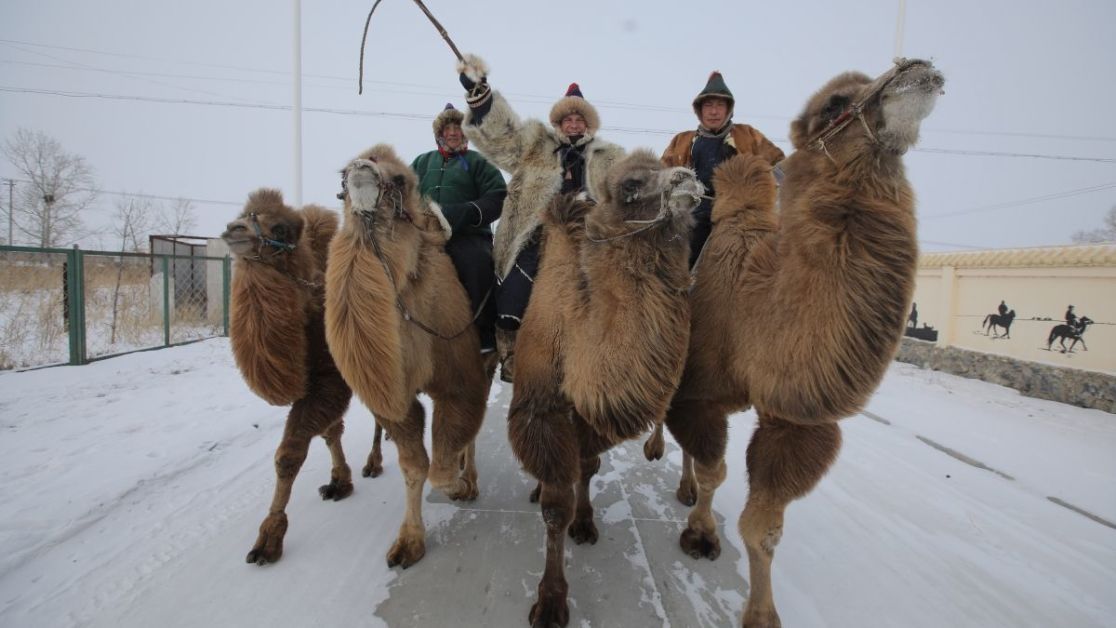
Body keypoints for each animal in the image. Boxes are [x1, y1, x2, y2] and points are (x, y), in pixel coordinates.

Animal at [220, 190, 352, 564]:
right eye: (243, 213)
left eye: (280, 228)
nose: (234, 229)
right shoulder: (316, 385)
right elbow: (330, 432)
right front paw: (340, 482)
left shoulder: (330, 381)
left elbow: (289, 454)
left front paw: (269, 537)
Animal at [325, 143, 495, 571]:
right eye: (342, 174)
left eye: (400, 179)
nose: (361, 169)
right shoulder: (396, 398)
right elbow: (414, 466)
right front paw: (409, 543)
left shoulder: (460, 379)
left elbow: (440, 467)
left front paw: (459, 486)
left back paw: (470, 478)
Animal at [504, 149, 696, 624]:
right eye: (631, 185)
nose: (687, 179)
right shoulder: (544, 411)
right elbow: (556, 508)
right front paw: (551, 602)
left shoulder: (590, 418)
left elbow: (587, 469)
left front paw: (586, 523)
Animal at [656, 60, 946, 628]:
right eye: (833, 105)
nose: (917, 69)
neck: (755, 306)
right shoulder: (701, 393)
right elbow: (716, 472)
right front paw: (700, 534)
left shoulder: (793, 421)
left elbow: (764, 526)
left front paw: (762, 613)